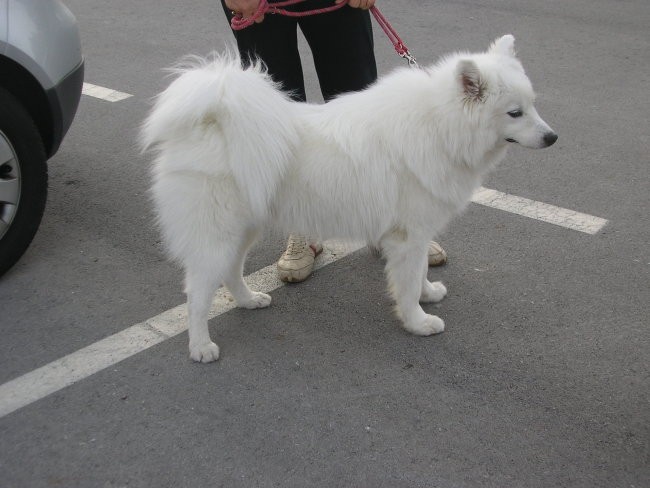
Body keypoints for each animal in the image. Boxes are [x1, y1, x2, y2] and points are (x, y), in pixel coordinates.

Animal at [140, 34, 552, 362]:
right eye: (514, 113)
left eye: (533, 105)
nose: (553, 138)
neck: (440, 127)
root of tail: (211, 119)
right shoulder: (408, 237)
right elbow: (406, 285)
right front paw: (418, 322)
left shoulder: (417, 235)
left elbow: (419, 273)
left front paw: (429, 293)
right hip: (217, 234)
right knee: (197, 293)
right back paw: (200, 347)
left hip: (244, 228)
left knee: (229, 271)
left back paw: (249, 299)